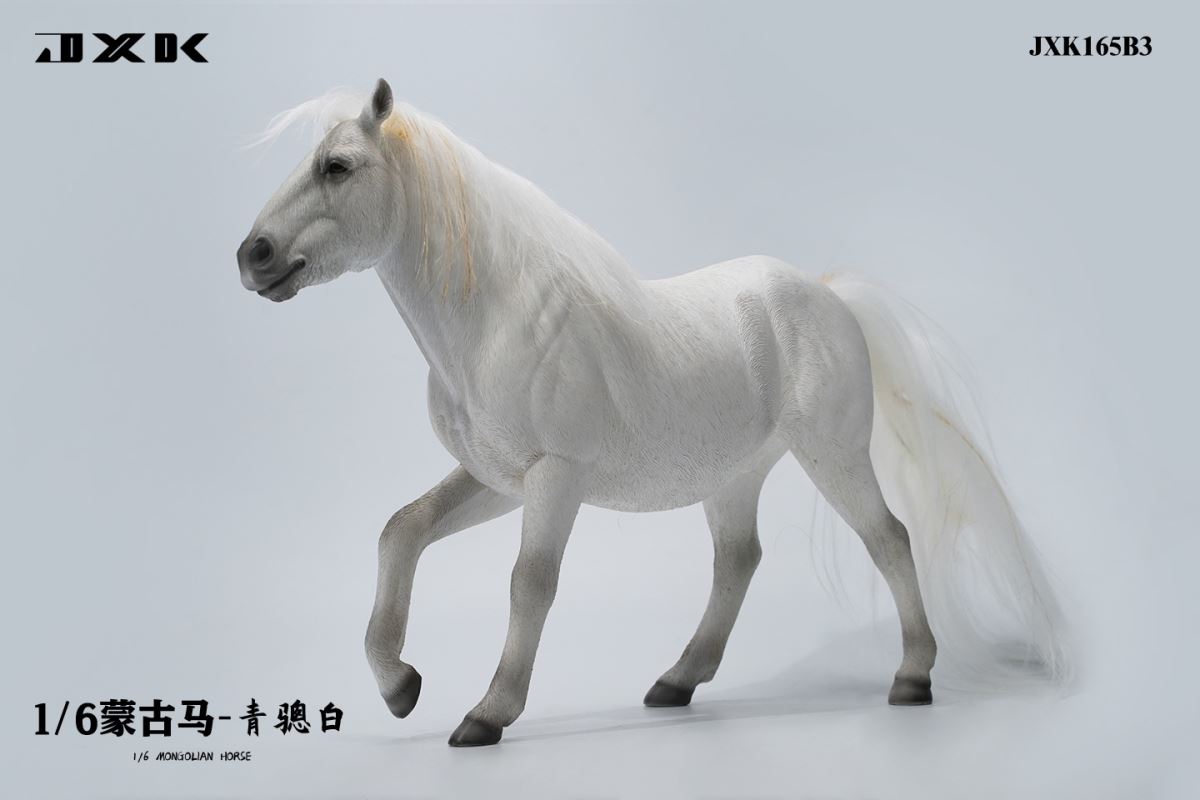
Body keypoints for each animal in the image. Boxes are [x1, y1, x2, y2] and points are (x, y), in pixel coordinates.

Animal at [238, 79, 1068, 747]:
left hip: (832, 455)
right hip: (736, 475)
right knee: (738, 560)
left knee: (889, 539)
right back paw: (676, 681)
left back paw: (912, 677)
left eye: (337, 166)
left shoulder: (555, 479)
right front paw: (400, 686)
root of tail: (827, 296)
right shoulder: (499, 479)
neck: (494, 323)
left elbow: (529, 583)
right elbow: (401, 530)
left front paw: (487, 714)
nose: (253, 256)